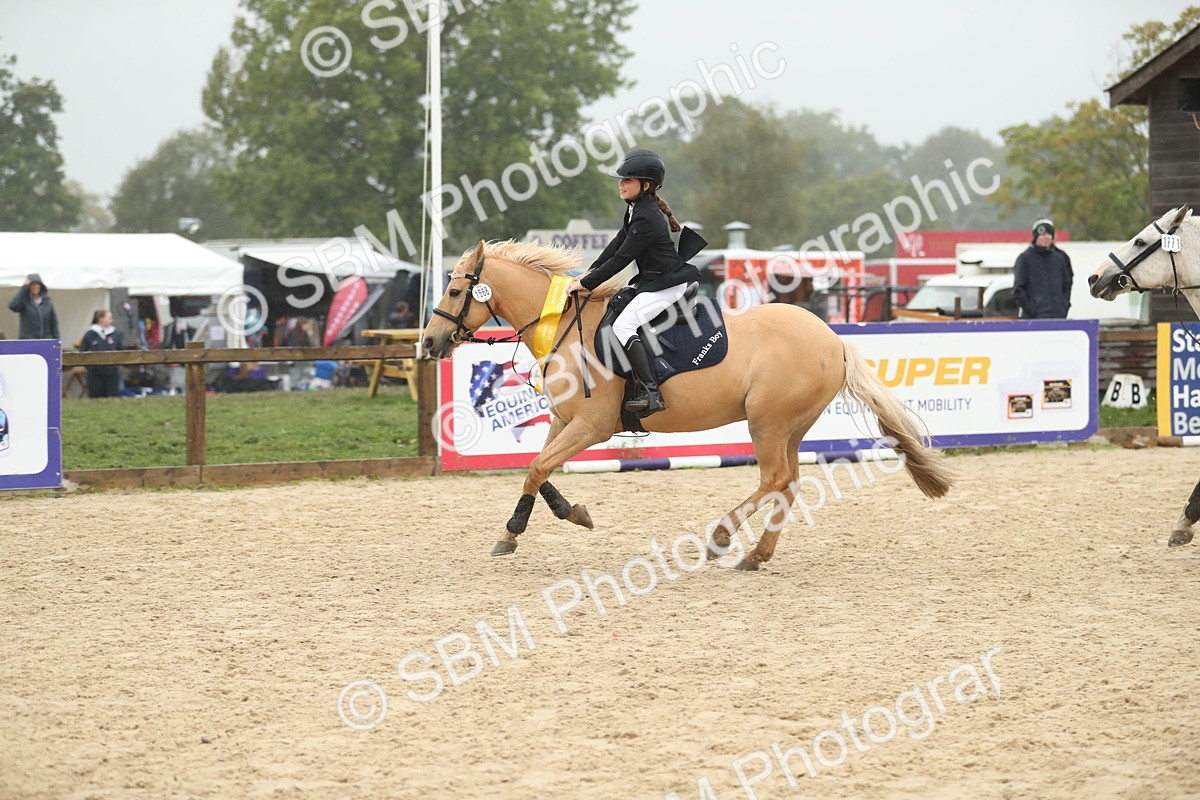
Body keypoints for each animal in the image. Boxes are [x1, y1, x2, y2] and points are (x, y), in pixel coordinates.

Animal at [422, 240, 954, 568]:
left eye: (455, 289)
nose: (428, 343)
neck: (567, 330)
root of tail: (832, 337)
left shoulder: (591, 425)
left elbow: (536, 466)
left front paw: (511, 531)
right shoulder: (563, 419)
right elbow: (540, 467)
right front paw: (569, 513)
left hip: (767, 422)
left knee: (774, 480)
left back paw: (721, 538)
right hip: (790, 426)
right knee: (789, 484)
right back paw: (756, 556)